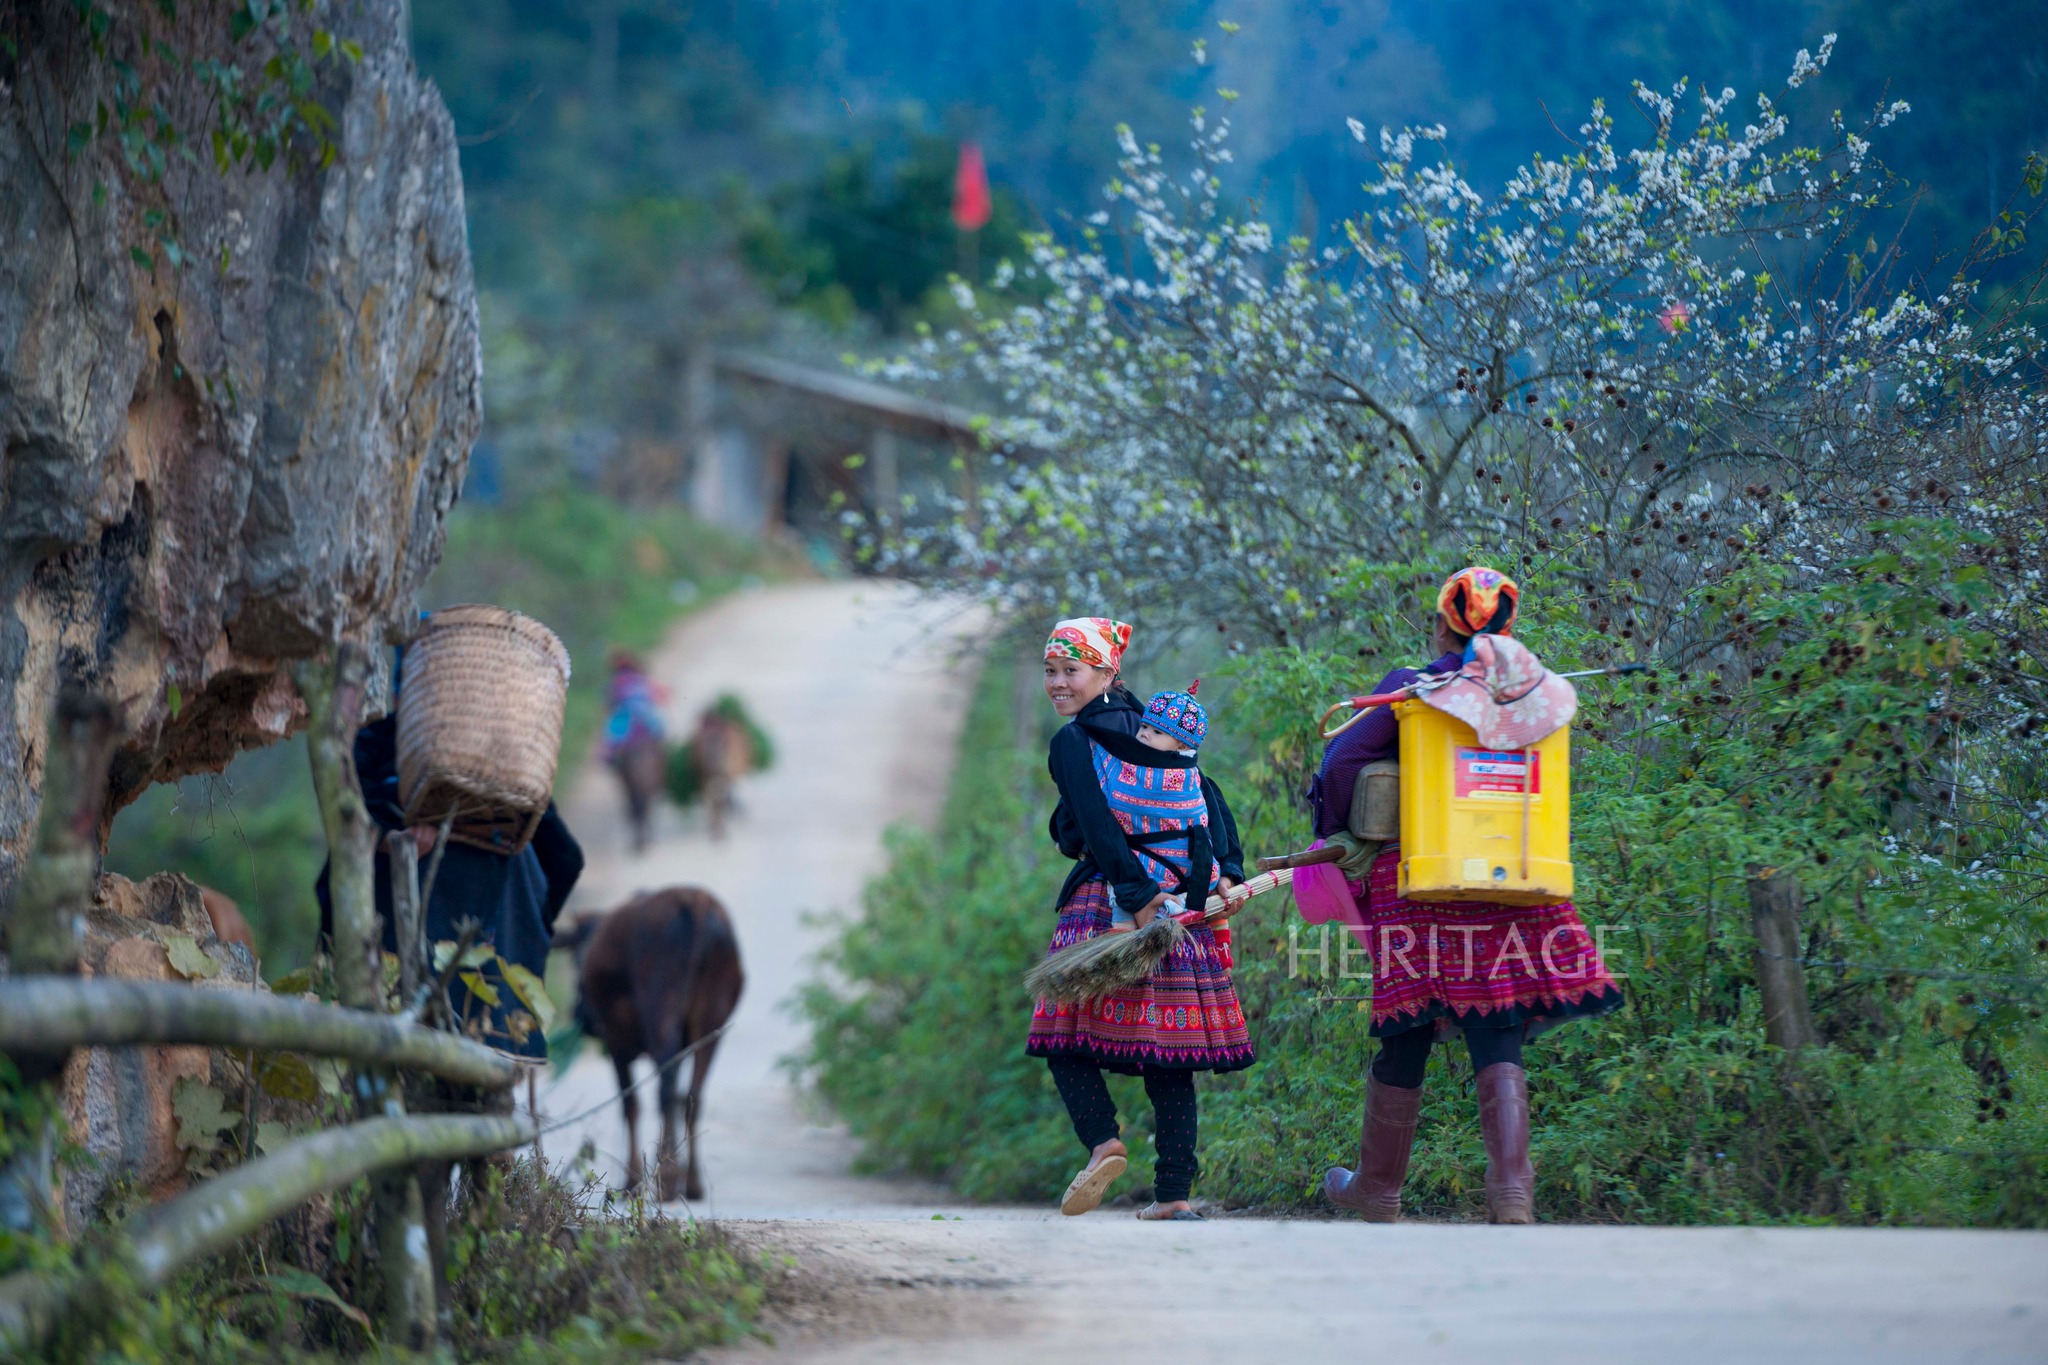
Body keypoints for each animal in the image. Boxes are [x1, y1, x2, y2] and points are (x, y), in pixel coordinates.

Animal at [561, 888, 745, 1195]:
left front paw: (632, 1179)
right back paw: (692, 1181)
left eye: (576, 960)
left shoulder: (615, 1041)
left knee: (665, 1090)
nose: (582, 1016)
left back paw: (667, 1178)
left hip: (661, 1010)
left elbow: (630, 1105)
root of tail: (694, 903)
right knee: (692, 1094)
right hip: (712, 1022)